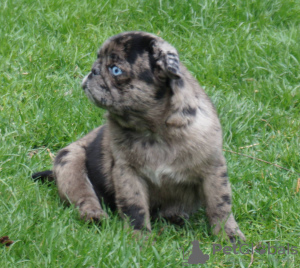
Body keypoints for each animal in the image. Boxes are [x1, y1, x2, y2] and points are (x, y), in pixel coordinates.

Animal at [32, 30, 245, 241]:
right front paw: (139, 237)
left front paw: (228, 235)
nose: (93, 71)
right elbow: (134, 206)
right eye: (98, 59)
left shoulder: (213, 169)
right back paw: (94, 216)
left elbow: (220, 204)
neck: (153, 130)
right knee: (83, 195)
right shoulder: (127, 172)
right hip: (70, 162)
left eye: (115, 70)